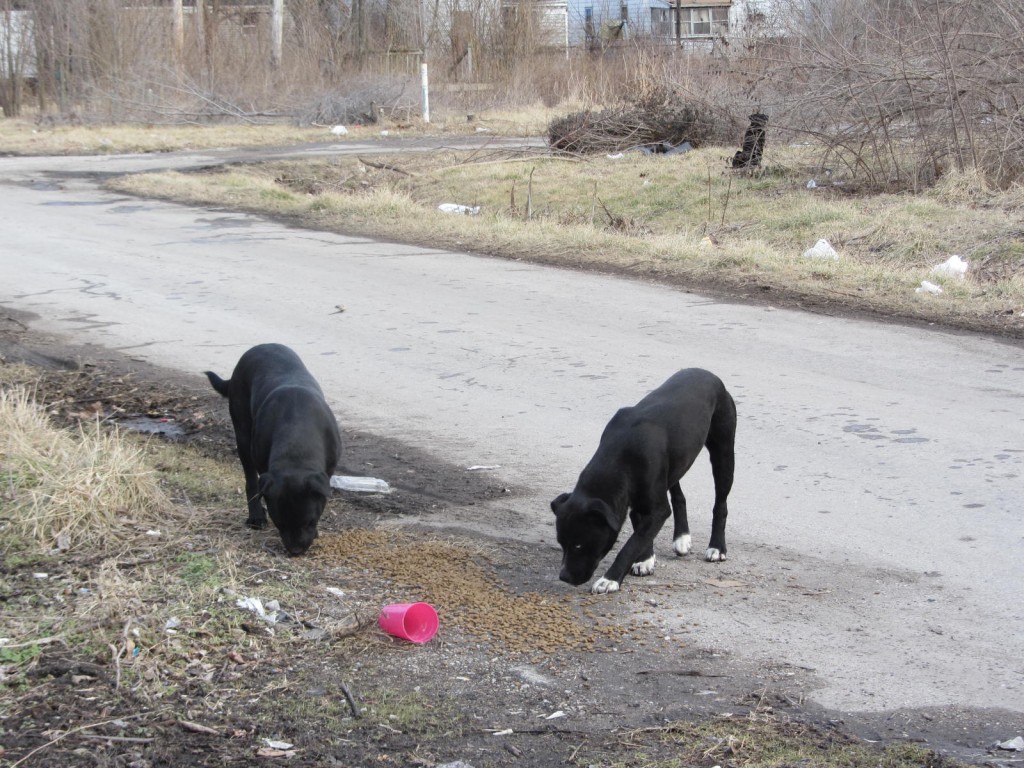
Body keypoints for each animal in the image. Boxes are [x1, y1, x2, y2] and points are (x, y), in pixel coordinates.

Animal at [205, 346, 342, 557]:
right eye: (279, 524)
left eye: (310, 521)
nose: (296, 551)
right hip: (242, 434)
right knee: (251, 480)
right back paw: (255, 516)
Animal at [552, 370, 737, 598]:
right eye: (561, 543)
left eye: (579, 545)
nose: (564, 577)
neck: (618, 458)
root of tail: (708, 374)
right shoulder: (635, 498)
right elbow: (639, 527)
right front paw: (645, 560)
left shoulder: (656, 508)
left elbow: (632, 543)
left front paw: (610, 579)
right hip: (674, 463)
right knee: (678, 495)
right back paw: (682, 537)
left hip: (723, 451)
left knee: (720, 503)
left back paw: (717, 547)